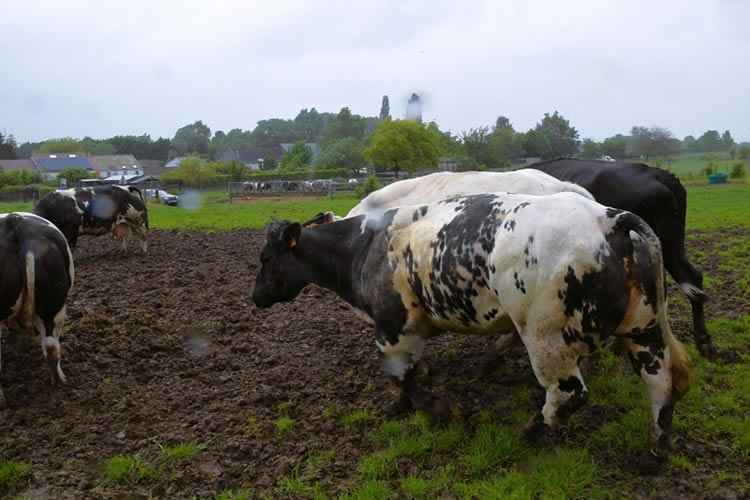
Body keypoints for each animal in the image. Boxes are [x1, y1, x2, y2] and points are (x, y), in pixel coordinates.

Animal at [254, 192, 700, 472]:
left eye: (265, 258)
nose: (255, 296)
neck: (365, 246)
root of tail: (609, 219)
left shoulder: (393, 328)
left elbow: (399, 375)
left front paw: (436, 408)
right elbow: (406, 374)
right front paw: (405, 405)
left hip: (547, 340)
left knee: (567, 395)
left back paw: (527, 433)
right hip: (643, 330)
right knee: (660, 386)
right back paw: (654, 452)